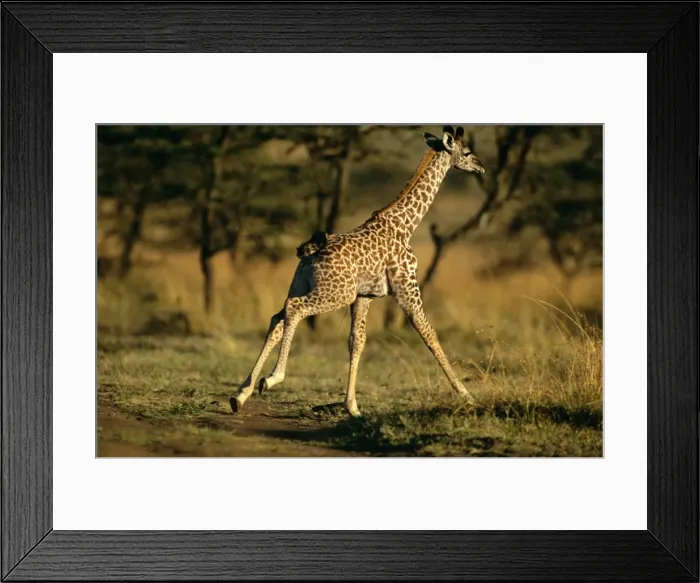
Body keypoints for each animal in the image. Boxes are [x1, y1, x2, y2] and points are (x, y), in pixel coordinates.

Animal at [231, 126, 486, 417]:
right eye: (467, 151)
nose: (481, 166)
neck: (406, 225)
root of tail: (310, 253)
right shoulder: (407, 289)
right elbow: (430, 335)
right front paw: (467, 396)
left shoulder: (364, 296)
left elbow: (357, 341)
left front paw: (352, 406)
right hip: (335, 293)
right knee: (295, 309)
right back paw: (272, 378)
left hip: (303, 284)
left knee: (278, 318)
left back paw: (240, 394)